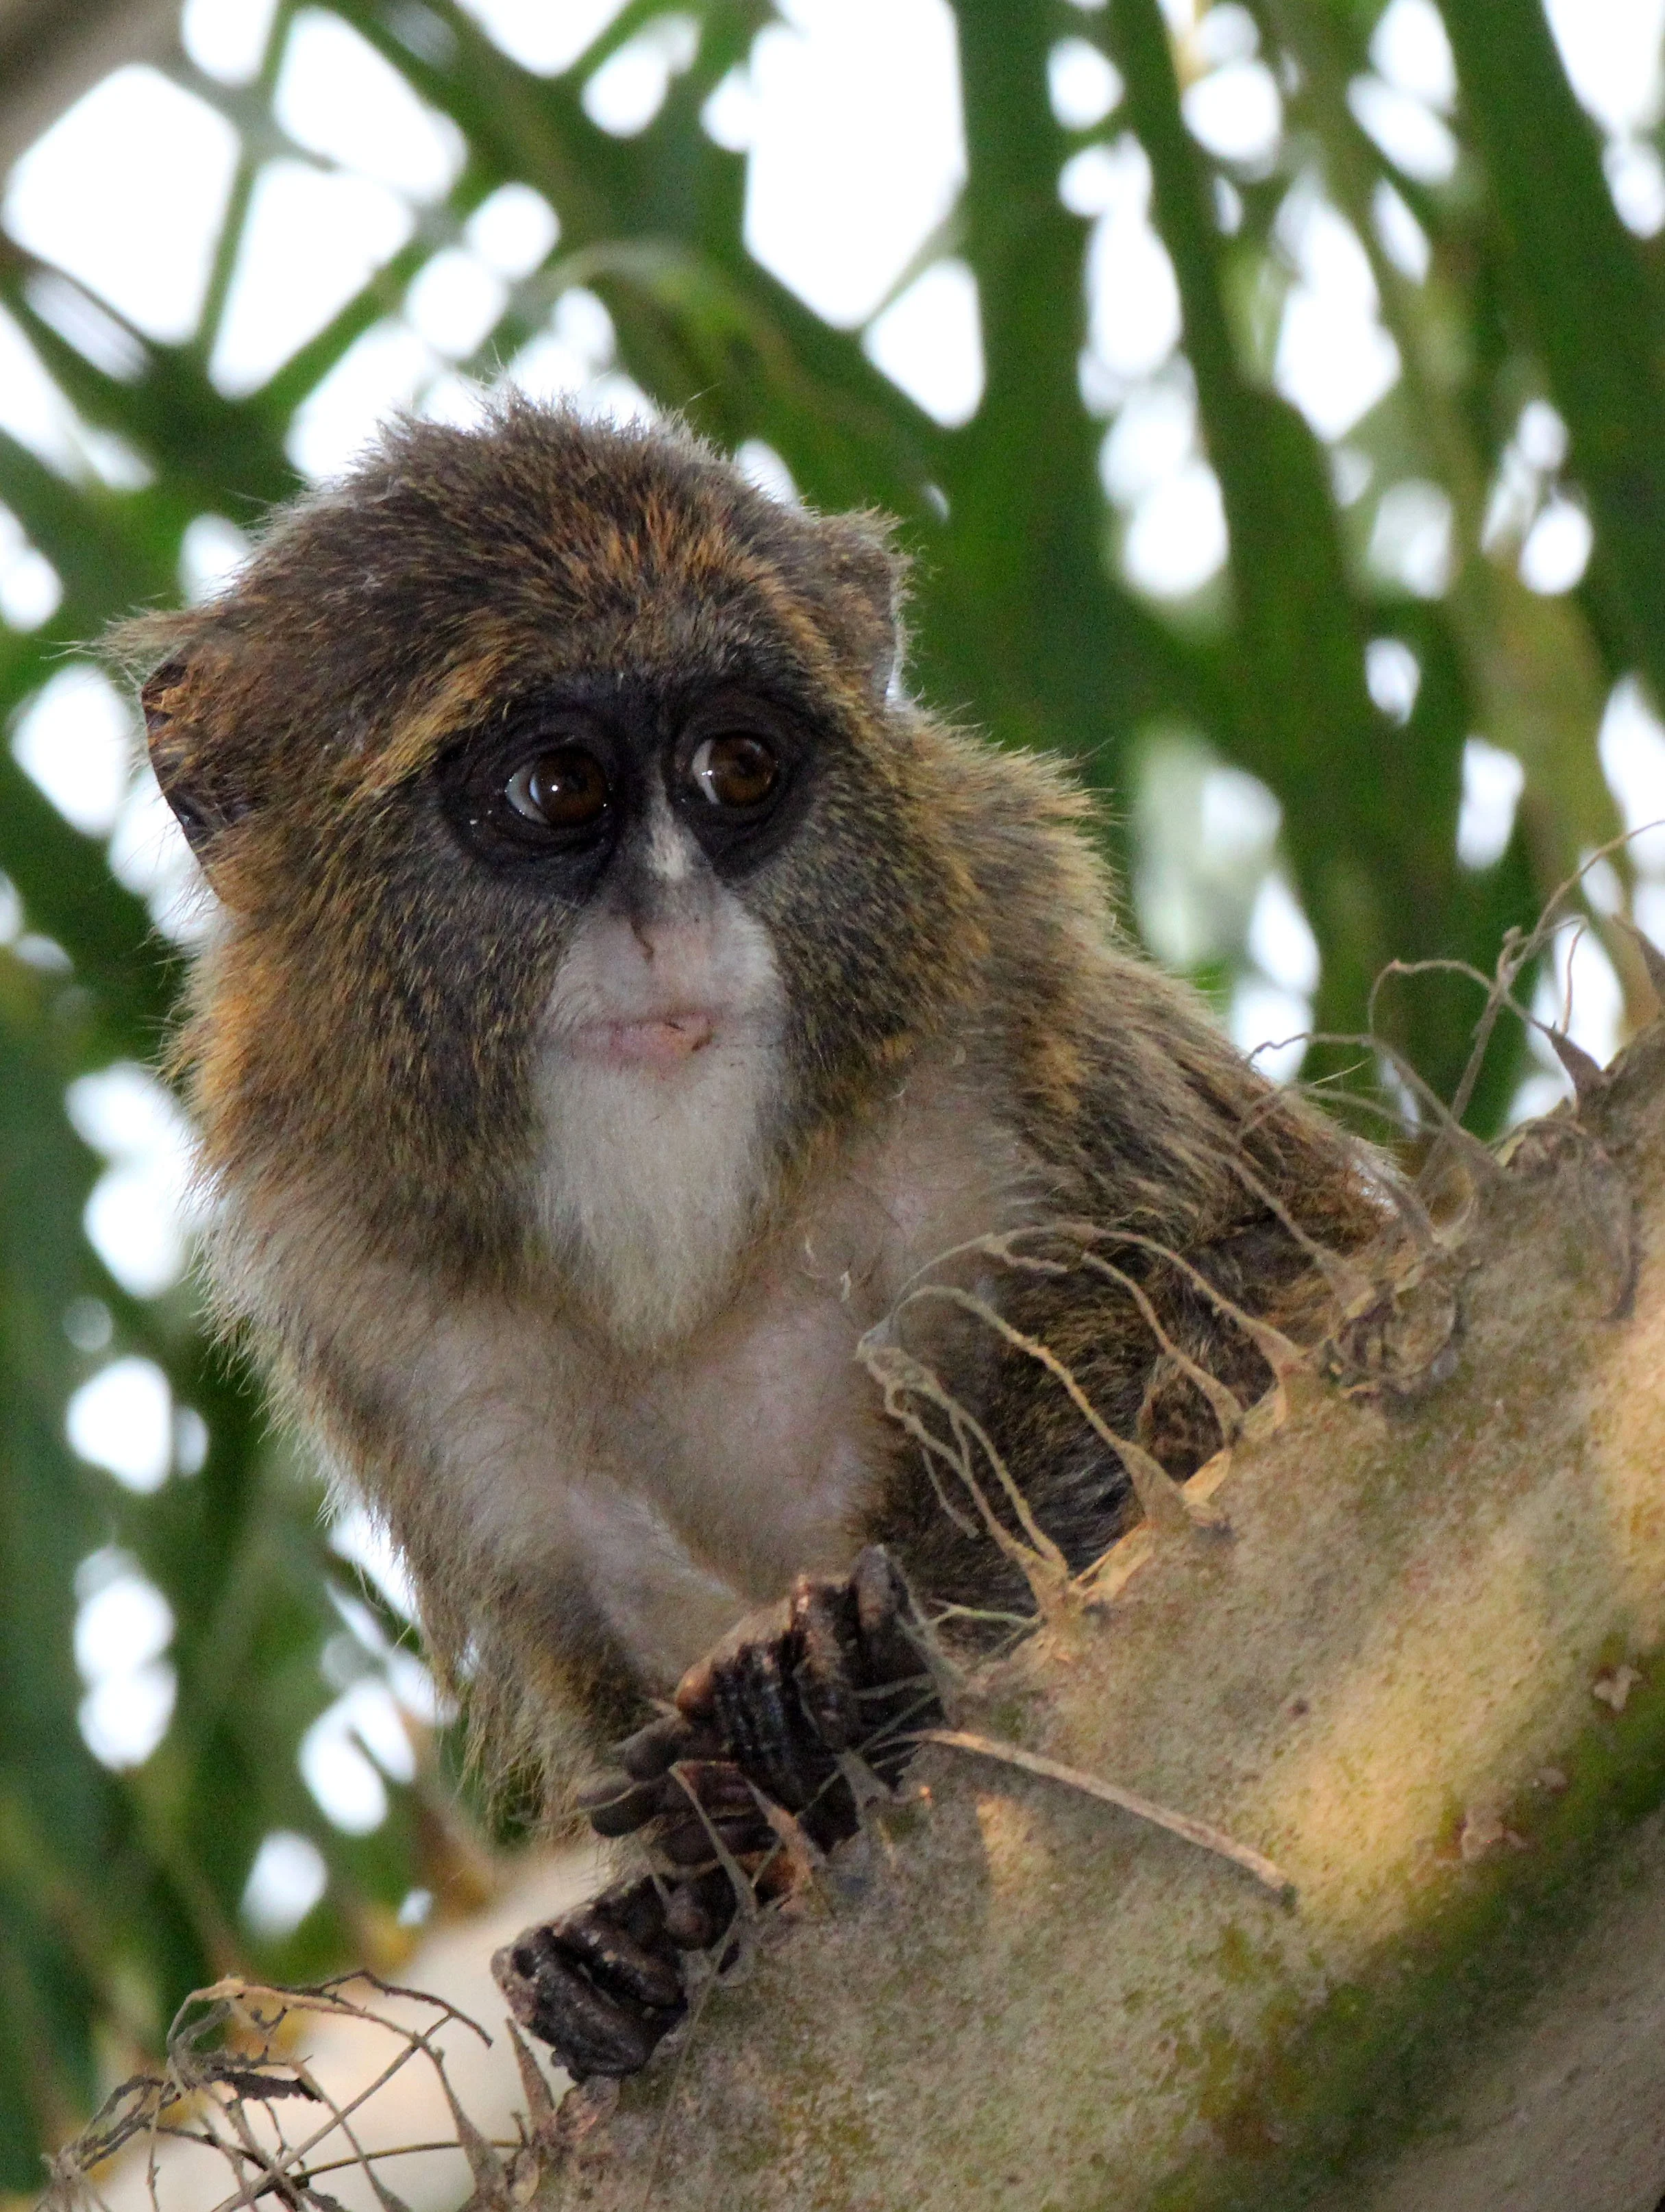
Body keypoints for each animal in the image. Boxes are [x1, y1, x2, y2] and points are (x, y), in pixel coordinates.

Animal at [122, 398, 1385, 2085]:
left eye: (736, 764)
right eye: (559, 790)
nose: (673, 913)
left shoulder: (1005, 974)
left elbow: (1268, 1289)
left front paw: (827, 1695)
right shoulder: (356, 1276)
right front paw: (660, 1922)